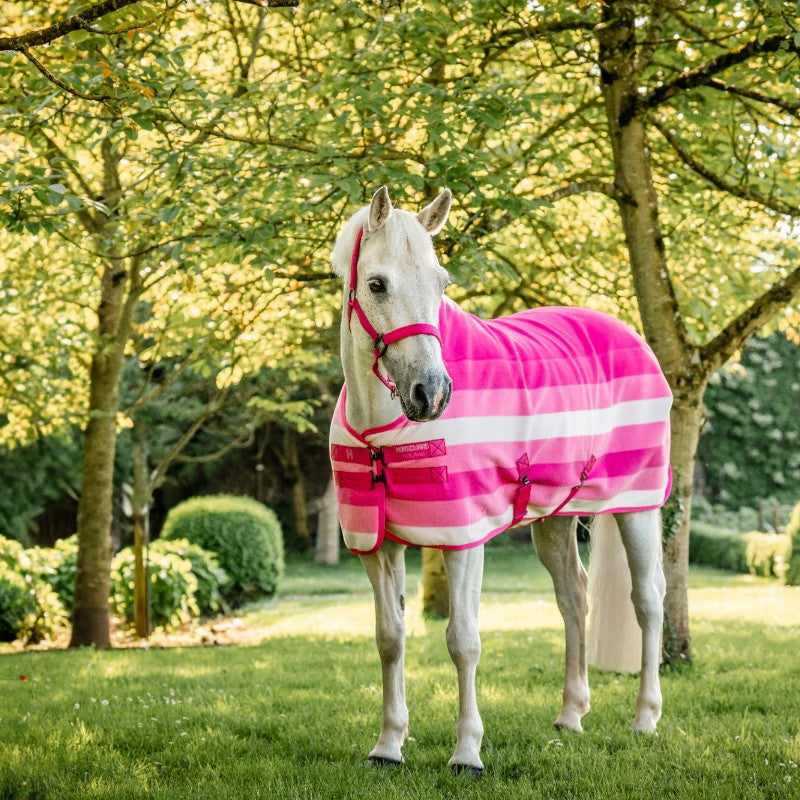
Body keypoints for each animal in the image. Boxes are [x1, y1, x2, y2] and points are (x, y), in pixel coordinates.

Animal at [328, 186, 670, 776]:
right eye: (376, 284)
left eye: (441, 282)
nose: (432, 393)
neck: (382, 430)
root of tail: (629, 332)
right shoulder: (377, 545)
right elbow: (390, 639)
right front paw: (388, 745)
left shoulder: (464, 538)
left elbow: (463, 641)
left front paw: (467, 752)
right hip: (554, 519)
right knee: (573, 597)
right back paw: (570, 715)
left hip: (639, 507)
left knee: (648, 599)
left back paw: (646, 717)